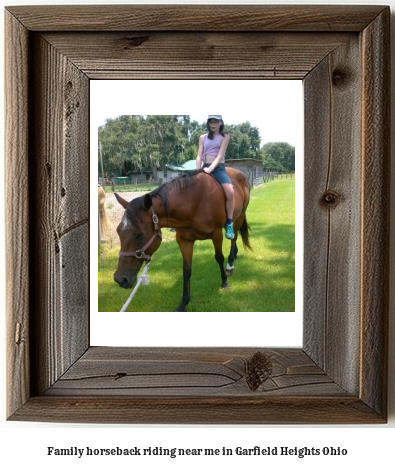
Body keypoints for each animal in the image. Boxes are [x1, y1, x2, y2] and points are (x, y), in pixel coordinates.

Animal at [113, 167, 252, 310]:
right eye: (118, 231)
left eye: (139, 234)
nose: (120, 279)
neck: (194, 203)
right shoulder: (184, 241)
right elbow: (186, 269)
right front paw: (184, 302)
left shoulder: (216, 234)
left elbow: (219, 258)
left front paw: (224, 282)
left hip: (239, 217)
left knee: (234, 237)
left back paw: (230, 263)